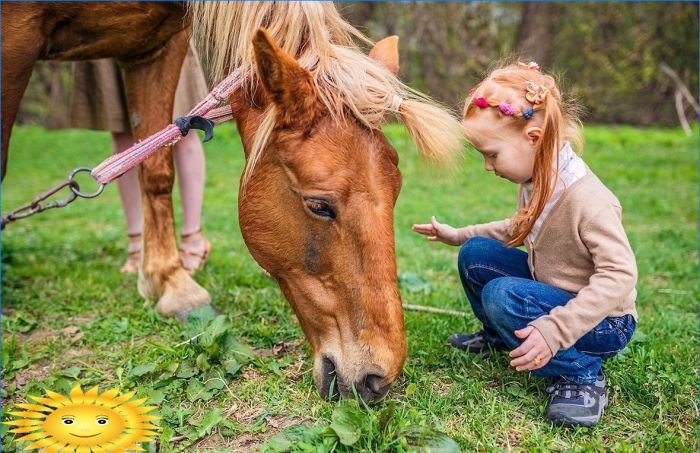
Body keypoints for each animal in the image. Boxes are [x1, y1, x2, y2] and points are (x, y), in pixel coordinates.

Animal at [5, 1, 468, 400]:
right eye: (319, 205)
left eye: (396, 191)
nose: (379, 379)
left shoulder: (157, 45)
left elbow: (155, 166)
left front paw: (170, 283)